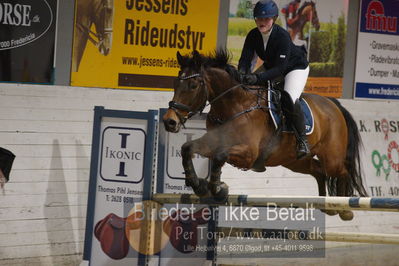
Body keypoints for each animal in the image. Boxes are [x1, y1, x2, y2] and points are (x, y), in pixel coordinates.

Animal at [162, 50, 368, 220]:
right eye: (175, 83)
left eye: (193, 85)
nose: (169, 121)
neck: (234, 105)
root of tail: (334, 104)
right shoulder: (212, 142)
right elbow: (187, 148)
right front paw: (199, 185)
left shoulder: (248, 154)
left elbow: (220, 156)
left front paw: (218, 189)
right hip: (294, 161)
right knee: (319, 171)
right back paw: (327, 206)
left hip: (331, 158)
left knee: (343, 171)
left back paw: (344, 210)